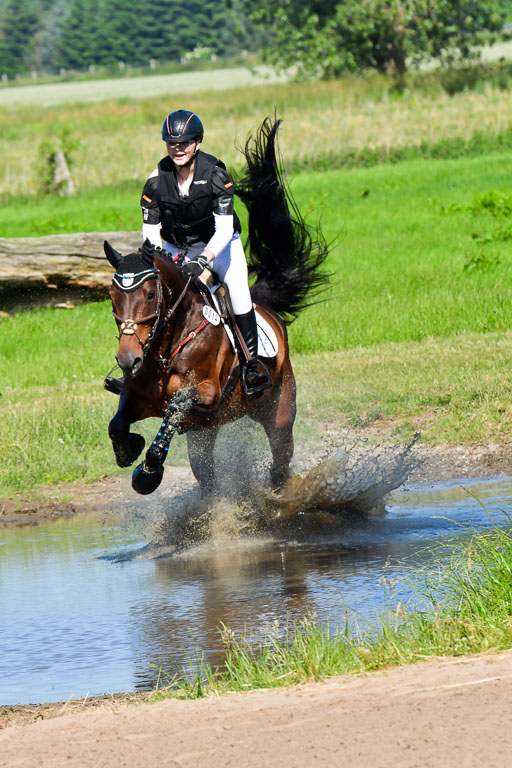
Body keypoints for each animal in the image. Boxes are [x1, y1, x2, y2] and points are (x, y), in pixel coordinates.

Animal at [104, 118, 329, 496]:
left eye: (150, 295)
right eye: (112, 298)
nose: (127, 359)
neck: (168, 346)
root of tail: (269, 311)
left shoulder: (207, 394)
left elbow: (175, 406)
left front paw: (148, 472)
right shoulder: (136, 396)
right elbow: (117, 424)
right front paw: (129, 450)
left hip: (279, 411)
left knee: (280, 459)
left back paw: (278, 496)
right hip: (205, 434)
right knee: (207, 475)